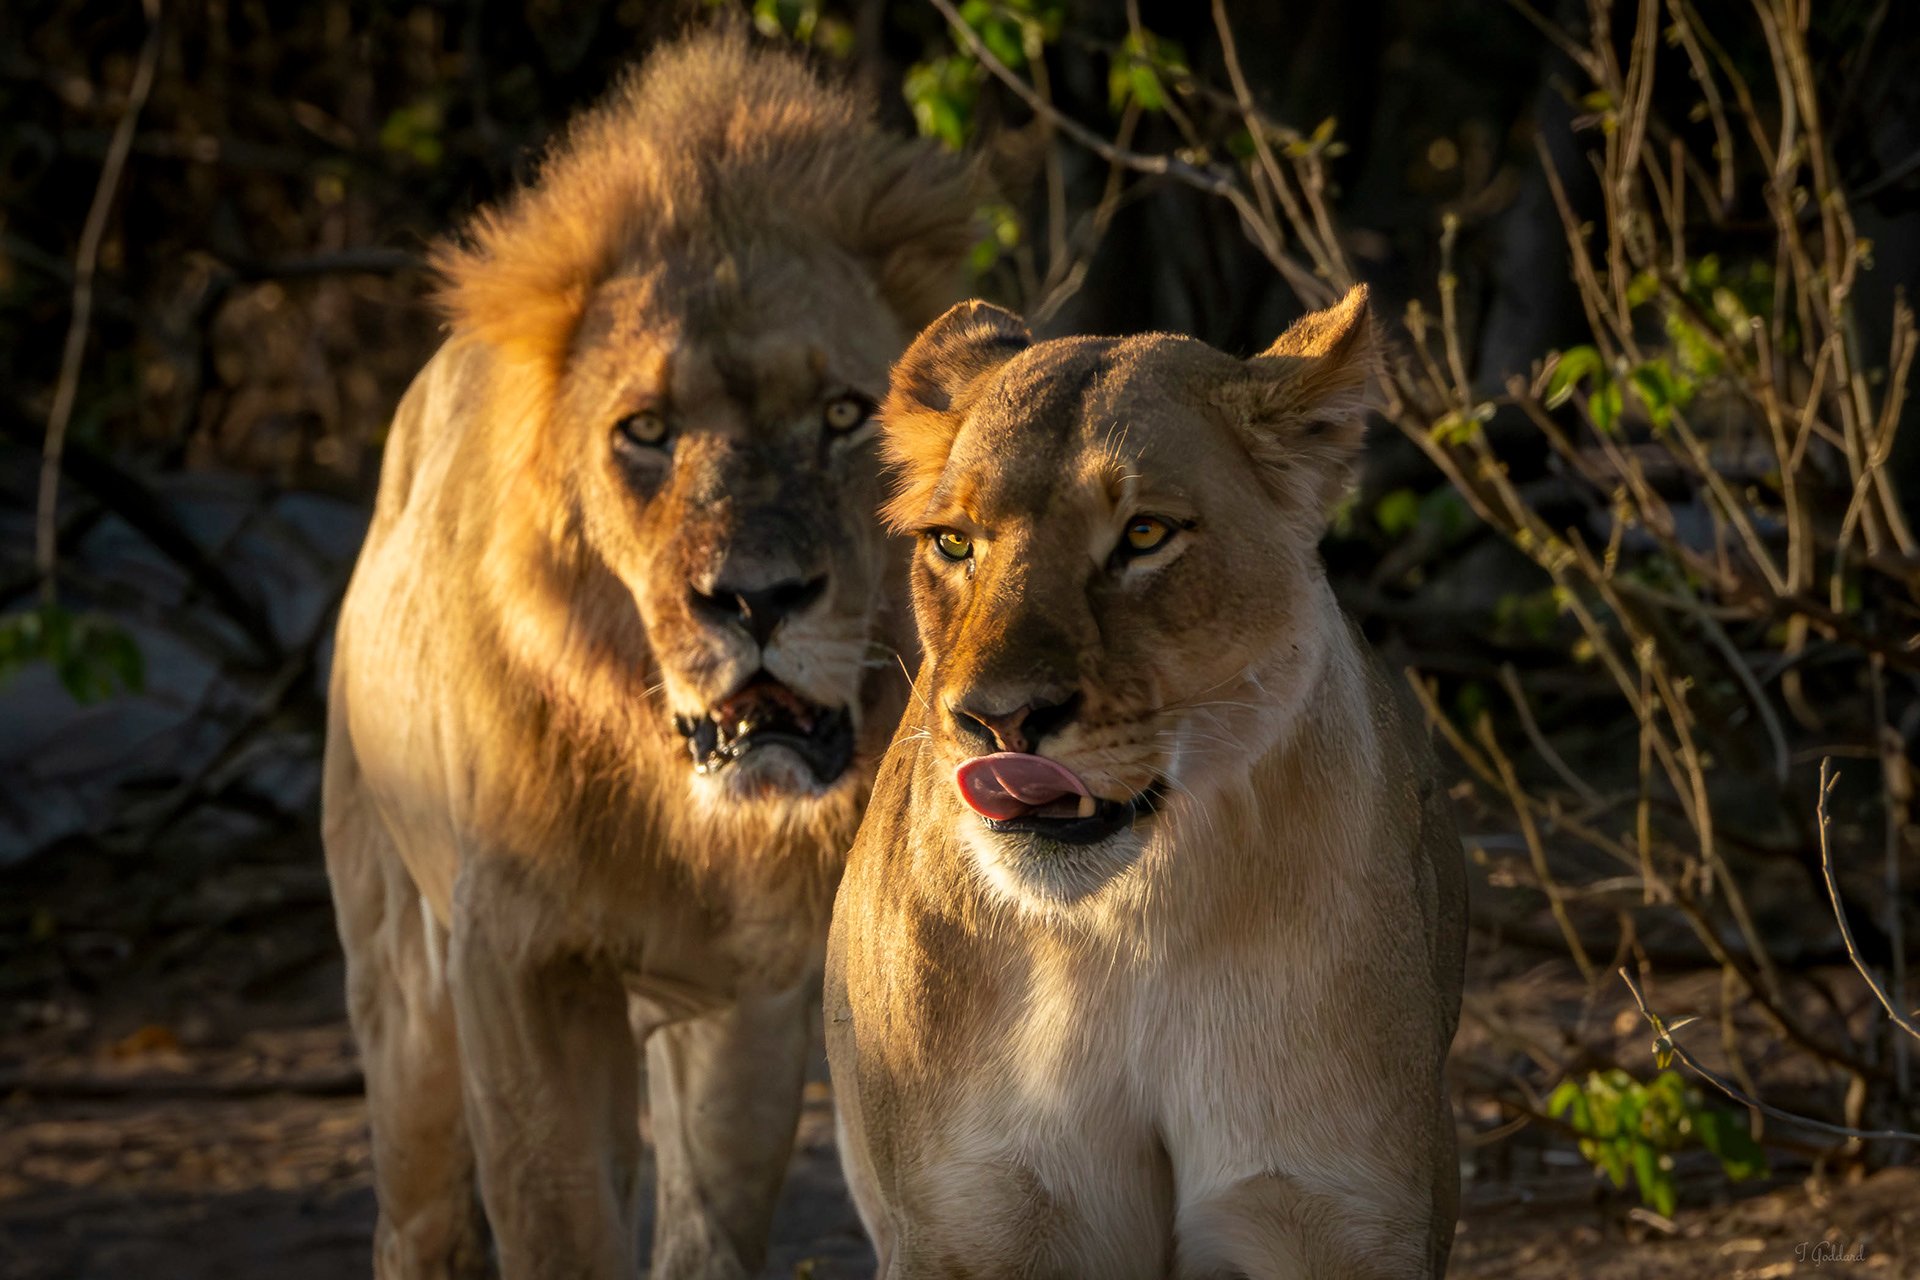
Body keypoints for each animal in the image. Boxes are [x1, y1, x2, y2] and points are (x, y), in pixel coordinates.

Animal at [320, 28, 978, 1280]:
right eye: (644, 431)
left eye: (843, 414)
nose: (755, 598)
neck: (684, 809)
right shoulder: (514, 958)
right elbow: (558, 1219)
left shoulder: (759, 992)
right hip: (400, 975)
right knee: (417, 1211)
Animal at [824, 286, 1467, 1278]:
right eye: (954, 542)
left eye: (1145, 535)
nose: (998, 723)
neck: (1129, 930)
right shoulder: (970, 1220)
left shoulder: (1344, 1215)